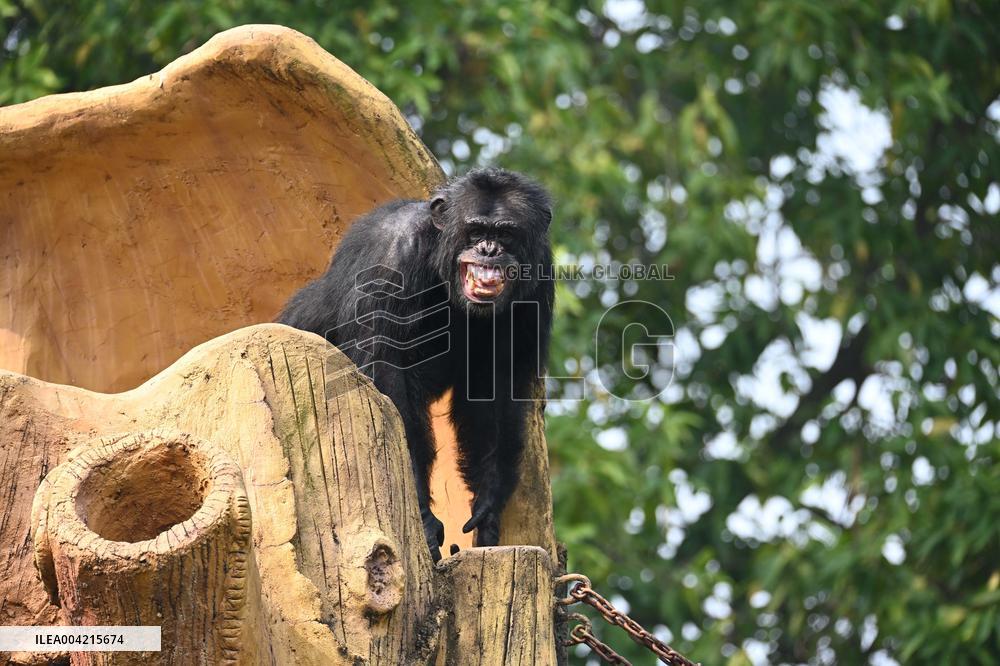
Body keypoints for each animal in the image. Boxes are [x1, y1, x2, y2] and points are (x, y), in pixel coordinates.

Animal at [278, 167, 553, 560]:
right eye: (475, 231)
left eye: (505, 234)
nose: (489, 250)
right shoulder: (389, 259)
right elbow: (388, 383)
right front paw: (422, 517)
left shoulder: (541, 276)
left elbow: (498, 385)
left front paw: (487, 508)